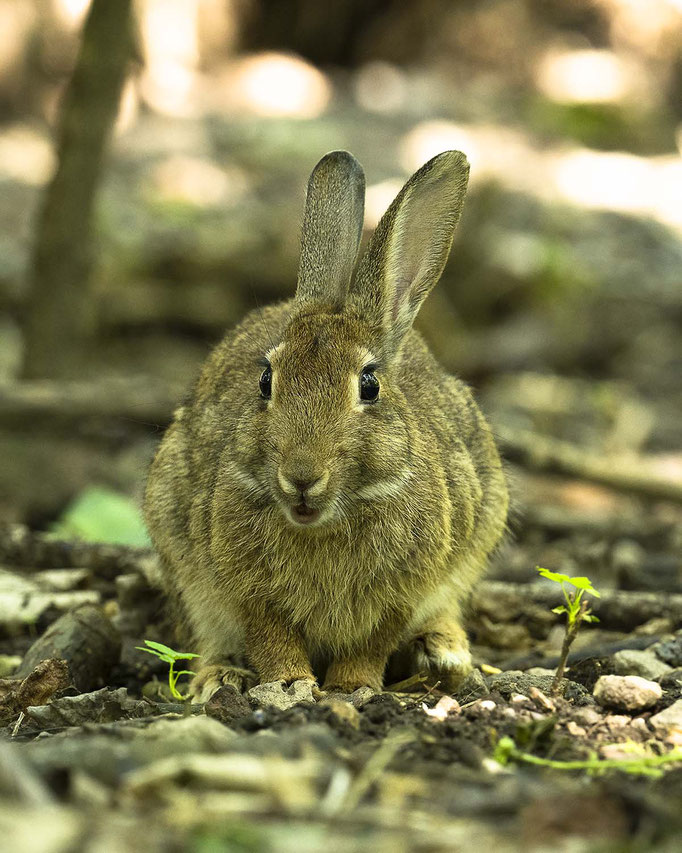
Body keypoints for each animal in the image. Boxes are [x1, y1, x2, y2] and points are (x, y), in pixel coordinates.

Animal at [145, 151, 504, 700]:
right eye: (266, 381)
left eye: (369, 386)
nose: (301, 477)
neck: (328, 520)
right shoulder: (247, 590)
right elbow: (270, 636)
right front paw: (291, 685)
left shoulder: (404, 590)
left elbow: (373, 642)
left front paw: (352, 688)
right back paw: (219, 677)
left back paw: (444, 652)